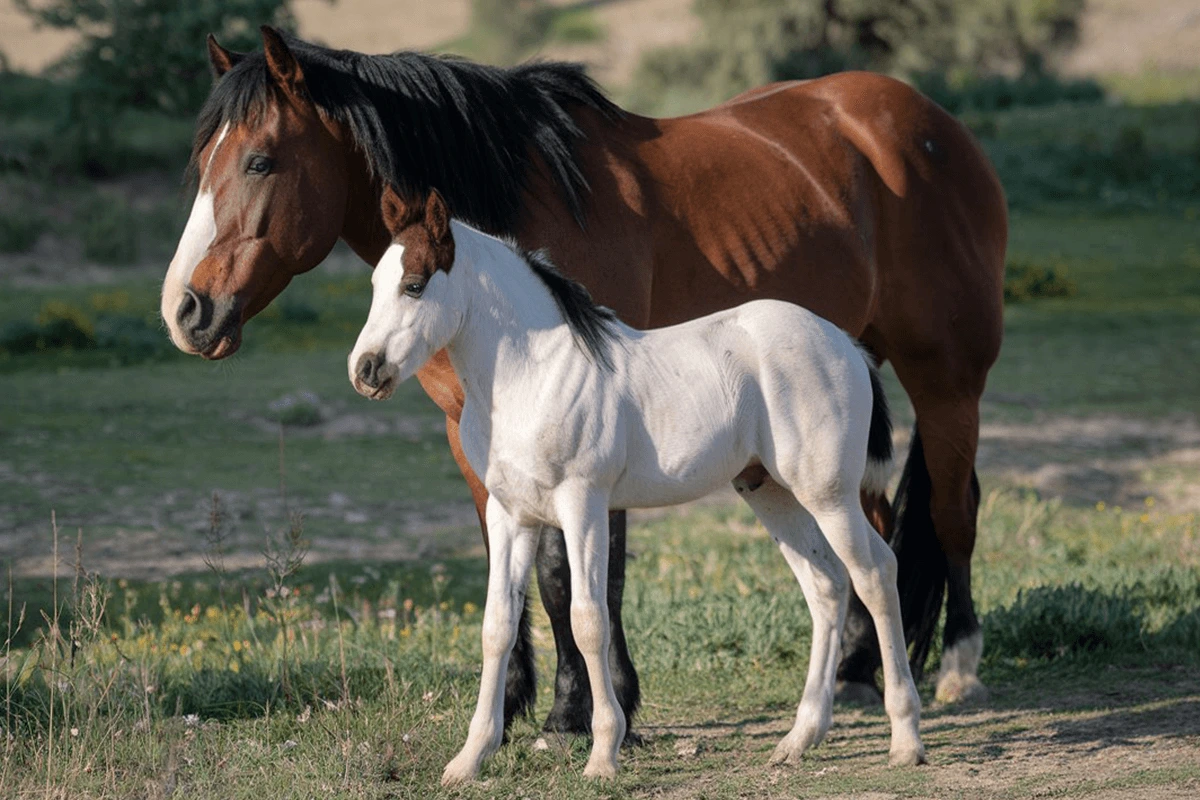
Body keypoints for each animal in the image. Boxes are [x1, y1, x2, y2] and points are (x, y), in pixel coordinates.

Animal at [348, 185, 926, 782]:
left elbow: (588, 619)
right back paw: (799, 738)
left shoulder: (583, 504)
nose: (365, 370)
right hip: (772, 493)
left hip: (829, 494)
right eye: (374, 284)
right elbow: (497, 627)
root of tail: (848, 345)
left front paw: (603, 754)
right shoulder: (512, 515)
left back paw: (905, 739)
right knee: (827, 584)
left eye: (415, 285)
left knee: (874, 574)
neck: (530, 376)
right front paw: (469, 759)